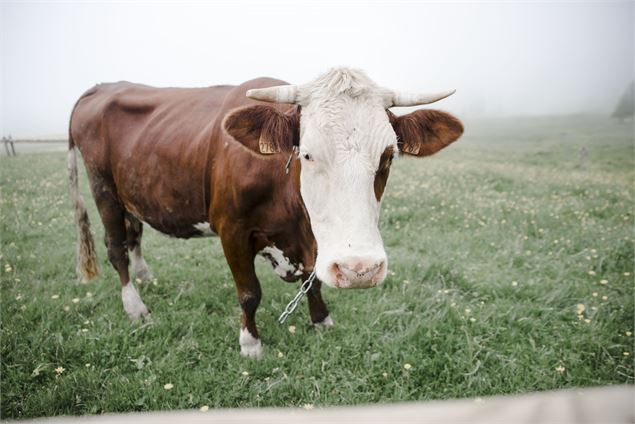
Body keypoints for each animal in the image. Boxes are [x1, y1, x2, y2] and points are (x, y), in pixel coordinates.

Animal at [68, 67, 462, 358]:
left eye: (388, 156)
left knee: (135, 235)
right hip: (103, 190)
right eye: (307, 154)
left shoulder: (313, 242)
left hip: (132, 194)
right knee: (116, 247)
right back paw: (135, 306)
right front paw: (250, 343)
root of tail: (102, 87)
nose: (359, 270)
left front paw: (321, 320)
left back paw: (145, 275)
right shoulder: (232, 231)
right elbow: (249, 292)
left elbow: (313, 280)